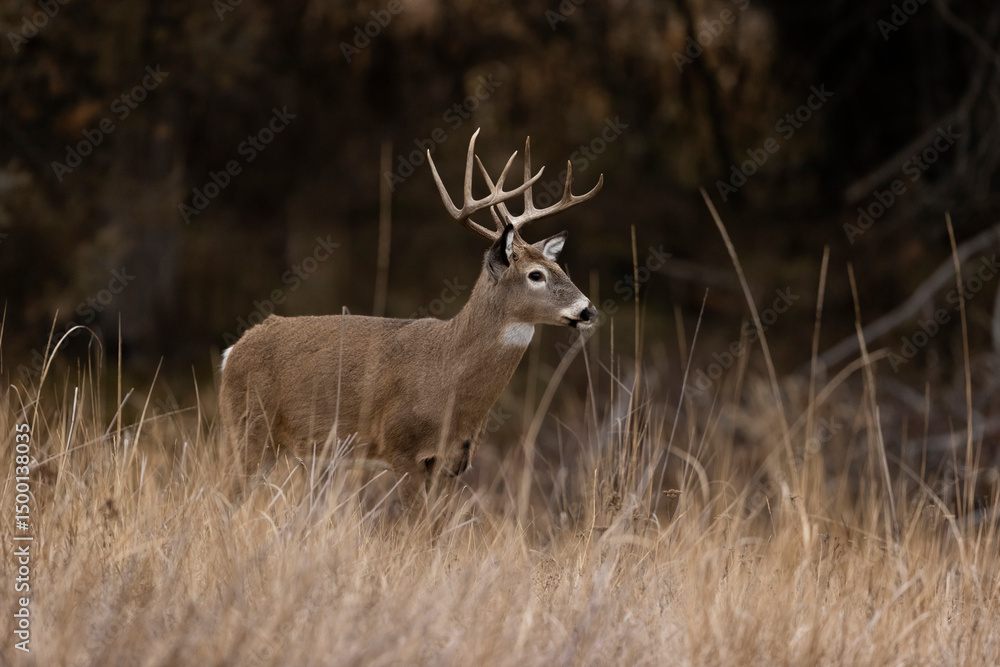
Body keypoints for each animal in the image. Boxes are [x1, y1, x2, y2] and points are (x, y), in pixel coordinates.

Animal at [217, 129, 602, 494]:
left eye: (560, 268)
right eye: (535, 275)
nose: (588, 310)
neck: (450, 376)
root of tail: (232, 352)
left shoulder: (454, 463)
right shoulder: (403, 449)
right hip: (249, 430)